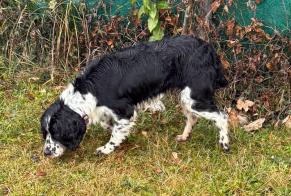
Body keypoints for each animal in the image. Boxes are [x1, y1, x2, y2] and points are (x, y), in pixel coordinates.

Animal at [40, 35, 230, 158]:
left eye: (56, 133)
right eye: (45, 133)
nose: (46, 152)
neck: (89, 89)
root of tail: (209, 48)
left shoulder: (125, 111)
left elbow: (115, 133)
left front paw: (106, 149)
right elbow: (110, 125)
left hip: (195, 98)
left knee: (222, 116)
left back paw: (225, 143)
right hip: (186, 97)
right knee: (192, 118)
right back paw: (184, 136)